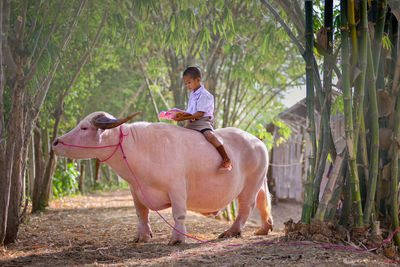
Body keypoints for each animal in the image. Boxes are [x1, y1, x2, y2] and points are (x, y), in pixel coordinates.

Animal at [52, 111, 272, 245]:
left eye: (84, 128)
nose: (55, 142)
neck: (140, 147)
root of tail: (258, 142)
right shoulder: (135, 189)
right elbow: (141, 214)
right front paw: (142, 236)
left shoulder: (177, 188)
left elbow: (178, 214)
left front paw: (177, 239)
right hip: (260, 181)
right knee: (263, 201)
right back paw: (264, 228)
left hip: (250, 184)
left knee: (246, 206)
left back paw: (232, 231)